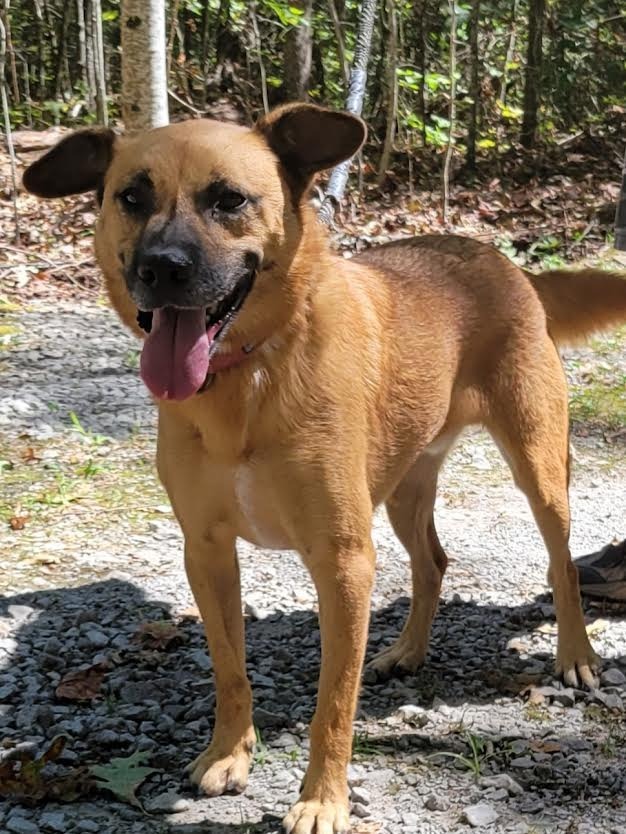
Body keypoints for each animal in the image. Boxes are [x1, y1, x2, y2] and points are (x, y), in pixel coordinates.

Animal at [24, 105, 626, 832]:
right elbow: (230, 670)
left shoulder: (343, 564)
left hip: (538, 467)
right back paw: (406, 651)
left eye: (229, 199)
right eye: (131, 197)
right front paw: (229, 754)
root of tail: (502, 262)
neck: (249, 372)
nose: (160, 269)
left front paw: (321, 801)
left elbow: (333, 705)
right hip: (404, 486)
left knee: (560, 565)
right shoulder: (207, 553)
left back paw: (576, 657)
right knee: (433, 562)